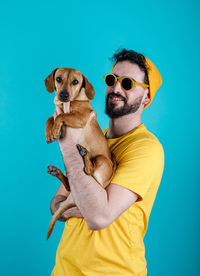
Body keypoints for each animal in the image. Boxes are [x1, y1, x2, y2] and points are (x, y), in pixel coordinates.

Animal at [43, 68, 115, 239]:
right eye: (59, 79)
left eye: (75, 82)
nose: (63, 95)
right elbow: (51, 117)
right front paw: (49, 132)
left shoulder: (81, 117)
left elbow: (61, 115)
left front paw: (55, 129)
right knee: (70, 185)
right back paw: (55, 171)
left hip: (101, 160)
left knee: (88, 170)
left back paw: (84, 154)